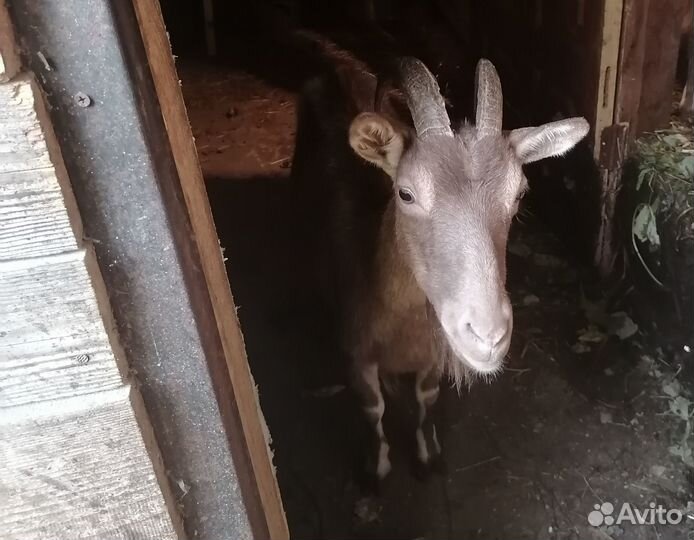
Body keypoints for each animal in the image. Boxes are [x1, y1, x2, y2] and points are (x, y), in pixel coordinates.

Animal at [293, 53, 588, 481]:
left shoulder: (433, 352)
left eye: (519, 193)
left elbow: (427, 396)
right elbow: (372, 407)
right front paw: (376, 467)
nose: (487, 337)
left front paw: (427, 454)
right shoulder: (356, 351)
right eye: (405, 193)